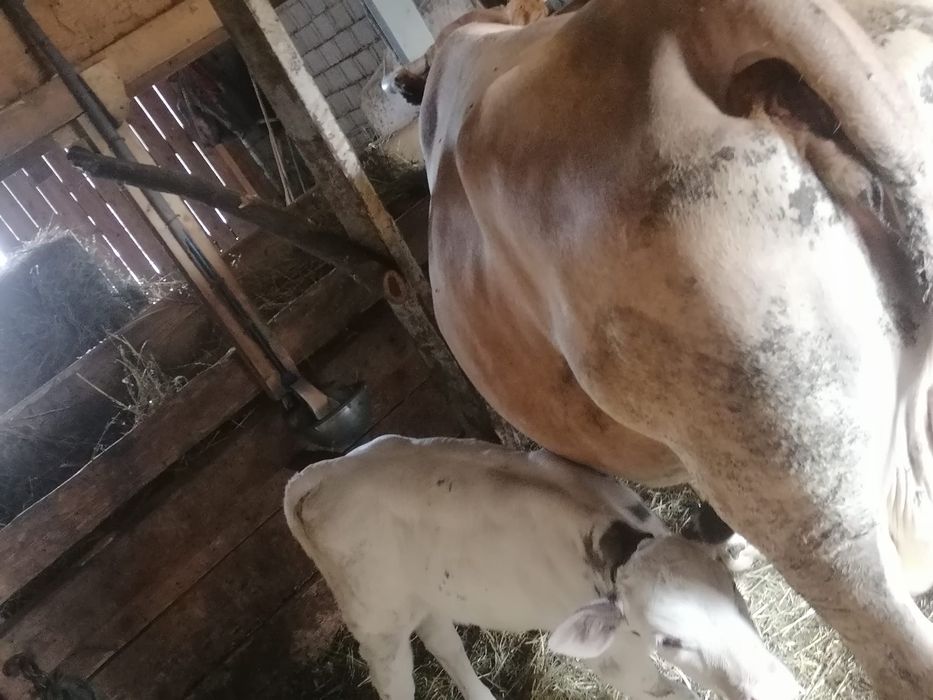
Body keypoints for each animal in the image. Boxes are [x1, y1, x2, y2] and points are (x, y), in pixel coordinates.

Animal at [284, 435, 801, 700]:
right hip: (374, 619)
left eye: (732, 593)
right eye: (668, 640)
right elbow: (673, 694)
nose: (775, 691)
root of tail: (322, 472)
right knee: (394, 680)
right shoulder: (616, 661)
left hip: (422, 593)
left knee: (443, 641)